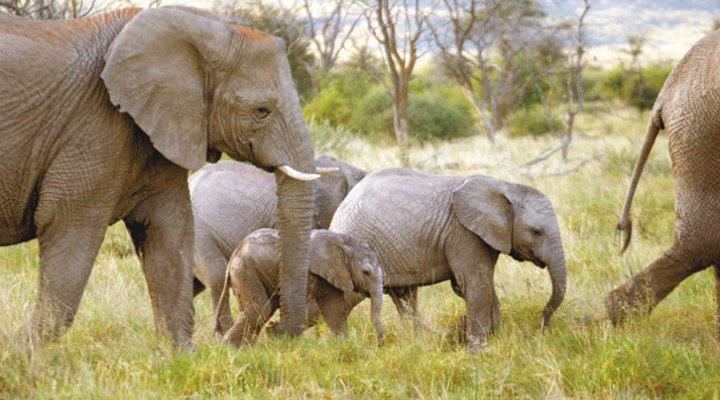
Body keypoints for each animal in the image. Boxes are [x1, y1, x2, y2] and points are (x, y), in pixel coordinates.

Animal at [0, 6, 320, 346]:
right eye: (262, 110)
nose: (279, 331)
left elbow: (169, 229)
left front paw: (179, 353)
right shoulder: (93, 127)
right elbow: (68, 223)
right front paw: (19, 351)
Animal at [217, 228, 384, 346]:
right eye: (366, 272)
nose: (380, 344)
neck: (341, 241)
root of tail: (233, 255)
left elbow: (334, 309)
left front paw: (344, 345)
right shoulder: (306, 271)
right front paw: (274, 333)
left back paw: (244, 348)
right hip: (245, 269)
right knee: (260, 311)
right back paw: (229, 348)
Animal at [329, 168, 567, 351]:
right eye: (536, 232)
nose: (542, 328)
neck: (505, 187)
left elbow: (483, 285)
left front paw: (494, 337)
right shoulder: (463, 233)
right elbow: (474, 284)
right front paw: (479, 352)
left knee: (405, 296)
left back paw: (416, 343)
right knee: (346, 295)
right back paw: (336, 344)